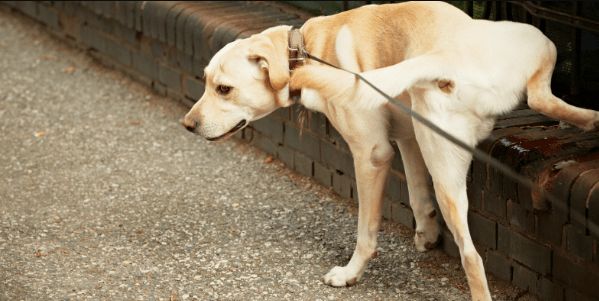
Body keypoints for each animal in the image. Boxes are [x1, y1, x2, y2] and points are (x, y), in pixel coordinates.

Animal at [183, 1, 599, 298]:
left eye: (224, 89)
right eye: (205, 81)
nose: (187, 125)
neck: (306, 47)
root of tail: (444, 55)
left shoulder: (372, 154)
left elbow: (367, 231)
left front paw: (351, 273)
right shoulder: (409, 137)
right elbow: (416, 194)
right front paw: (426, 233)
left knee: (471, 257)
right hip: (529, 49)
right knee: (543, 98)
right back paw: (589, 117)